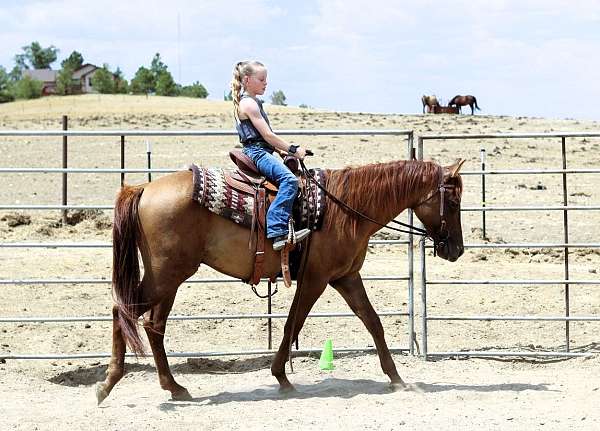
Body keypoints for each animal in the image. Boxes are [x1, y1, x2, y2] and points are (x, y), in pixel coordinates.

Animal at [96, 158, 466, 404]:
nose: (457, 250)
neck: (345, 210)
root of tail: (143, 187)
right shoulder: (316, 280)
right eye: (454, 200)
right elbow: (293, 324)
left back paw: (174, 388)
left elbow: (373, 322)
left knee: (153, 325)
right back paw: (108, 383)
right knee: (124, 311)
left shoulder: (346, 277)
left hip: (169, 278)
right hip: (167, 275)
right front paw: (282, 377)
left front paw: (397, 378)